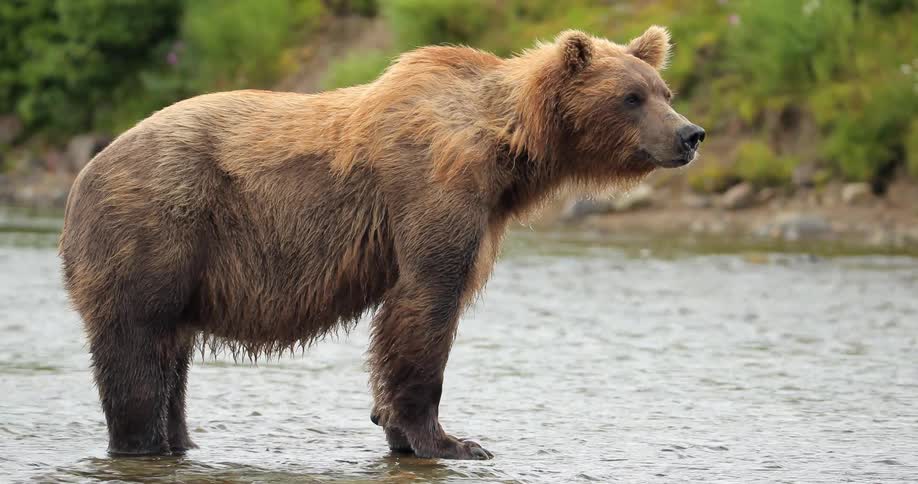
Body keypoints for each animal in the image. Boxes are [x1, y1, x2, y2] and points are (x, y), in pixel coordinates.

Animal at [59, 26, 704, 460]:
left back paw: (181, 441)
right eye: (631, 97)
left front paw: (400, 427)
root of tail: (83, 175)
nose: (691, 134)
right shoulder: (432, 185)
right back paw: (140, 442)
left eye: (664, 90)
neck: (509, 151)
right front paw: (448, 439)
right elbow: (427, 300)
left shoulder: (481, 210)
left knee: (171, 358)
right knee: (138, 349)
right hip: (158, 224)